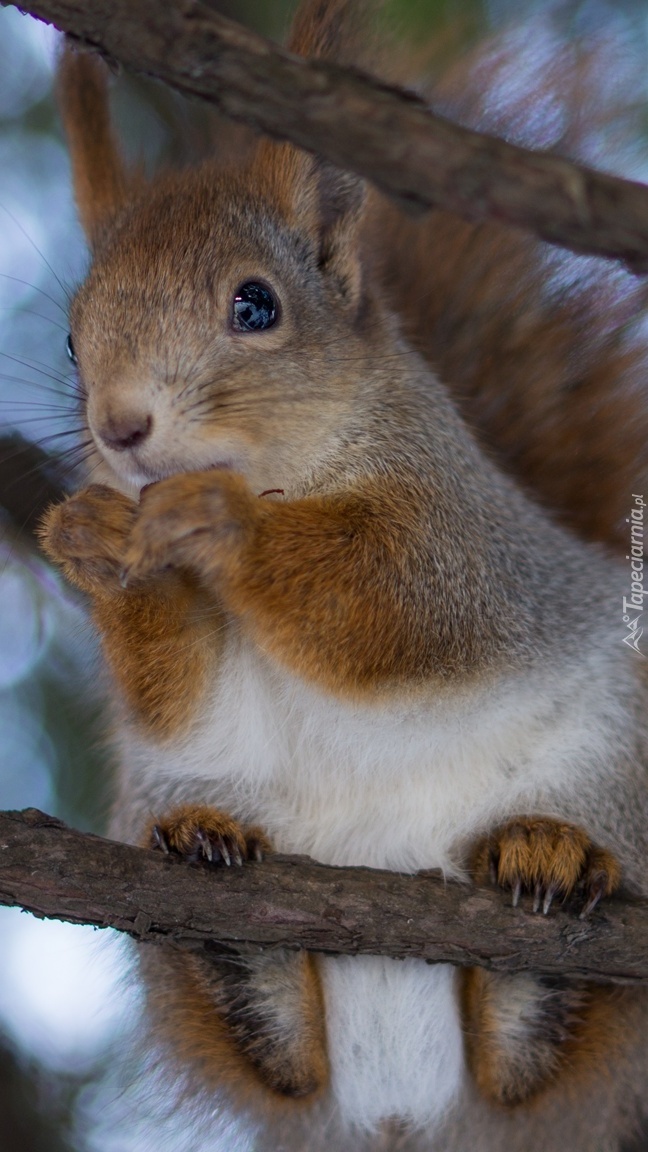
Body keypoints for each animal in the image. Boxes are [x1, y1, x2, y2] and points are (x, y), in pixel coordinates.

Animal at [37, 2, 645, 1152]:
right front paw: (92, 541)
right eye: (70, 337)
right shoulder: (183, 700)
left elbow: (399, 605)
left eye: (256, 306)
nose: (120, 430)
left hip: (619, 768)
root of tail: (409, 1111)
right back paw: (229, 912)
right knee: (284, 1054)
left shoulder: (464, 539)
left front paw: (218, 519)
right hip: (171, 803)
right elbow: (174, 690)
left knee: (545, 1053)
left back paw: (548, 868)